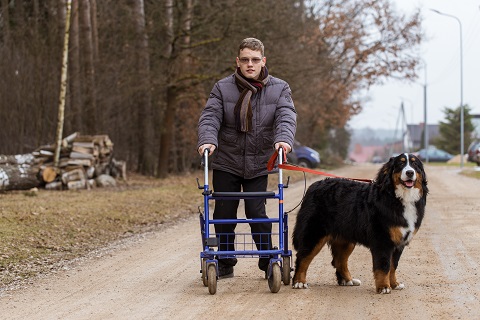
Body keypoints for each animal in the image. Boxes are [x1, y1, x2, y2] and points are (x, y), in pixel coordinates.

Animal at [290, 154, 430, 294]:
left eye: (415, 164)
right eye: (400, 164)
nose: (410, 172)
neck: (399, 198)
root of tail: (313, 186)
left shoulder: (399, 242)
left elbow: (393, 266)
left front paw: (394, 284)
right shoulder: (382, 241)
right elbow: (384, 266)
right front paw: (384, 287)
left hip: (345, 239)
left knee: (339, 261)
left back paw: (348, 280)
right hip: (314, 234)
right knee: (303, 257)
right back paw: (299, 282)